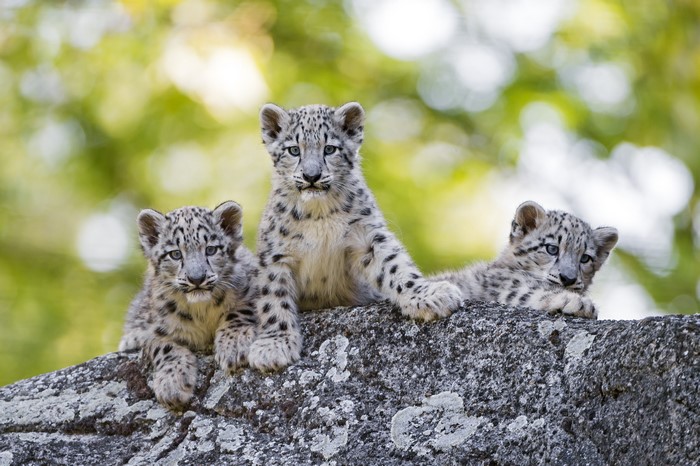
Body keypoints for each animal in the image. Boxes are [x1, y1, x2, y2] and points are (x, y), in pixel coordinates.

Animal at [118, 201, 258, 410]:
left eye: (211, 250)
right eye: (175, 254)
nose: (197, 278)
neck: (201, 311)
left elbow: (239, 310)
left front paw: (234, 345)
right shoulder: (152, 329)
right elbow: (163, 346)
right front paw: (172, 385)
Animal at [246, 102, 463, 371]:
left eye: (330, 148)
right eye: (294, 150)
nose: (311, 176)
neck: (318, 214)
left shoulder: (368, 236)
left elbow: (396, 266)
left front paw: (429, 295)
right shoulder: (276, 254)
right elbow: (273, 297)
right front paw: (274, 346)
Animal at [433, 201, 618, 319]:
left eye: (585, 258)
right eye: (552, 248)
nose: (568, 278)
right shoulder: (505, 286)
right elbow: (527, 292)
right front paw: (578, 303)